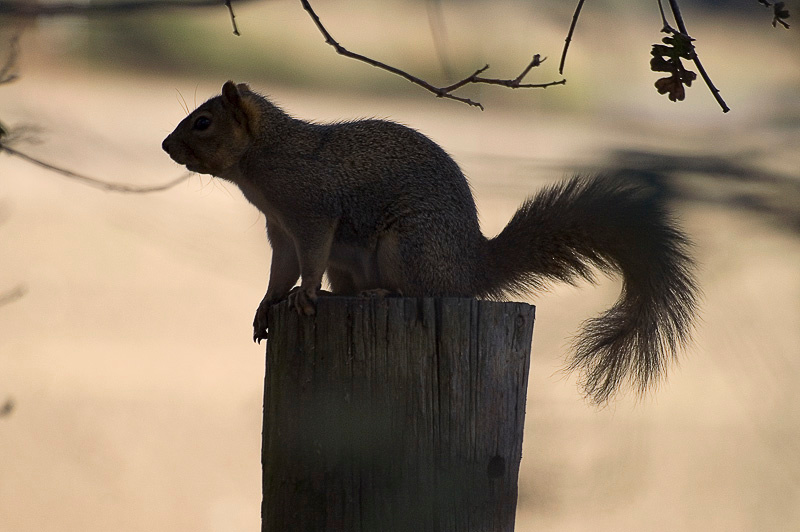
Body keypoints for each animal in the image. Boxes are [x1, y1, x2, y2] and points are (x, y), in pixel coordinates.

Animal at [162, 81, 698, 403]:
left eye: (203, 122)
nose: (166, 147)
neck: (263, 156)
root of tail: (472, 267)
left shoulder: (312, 213)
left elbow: (308, 263)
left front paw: (305, 297)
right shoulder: (280, 230)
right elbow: (281, 270)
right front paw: (268, 304)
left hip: (410, 247)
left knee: (425, 291)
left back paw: (382, 293)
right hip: (355, 262)